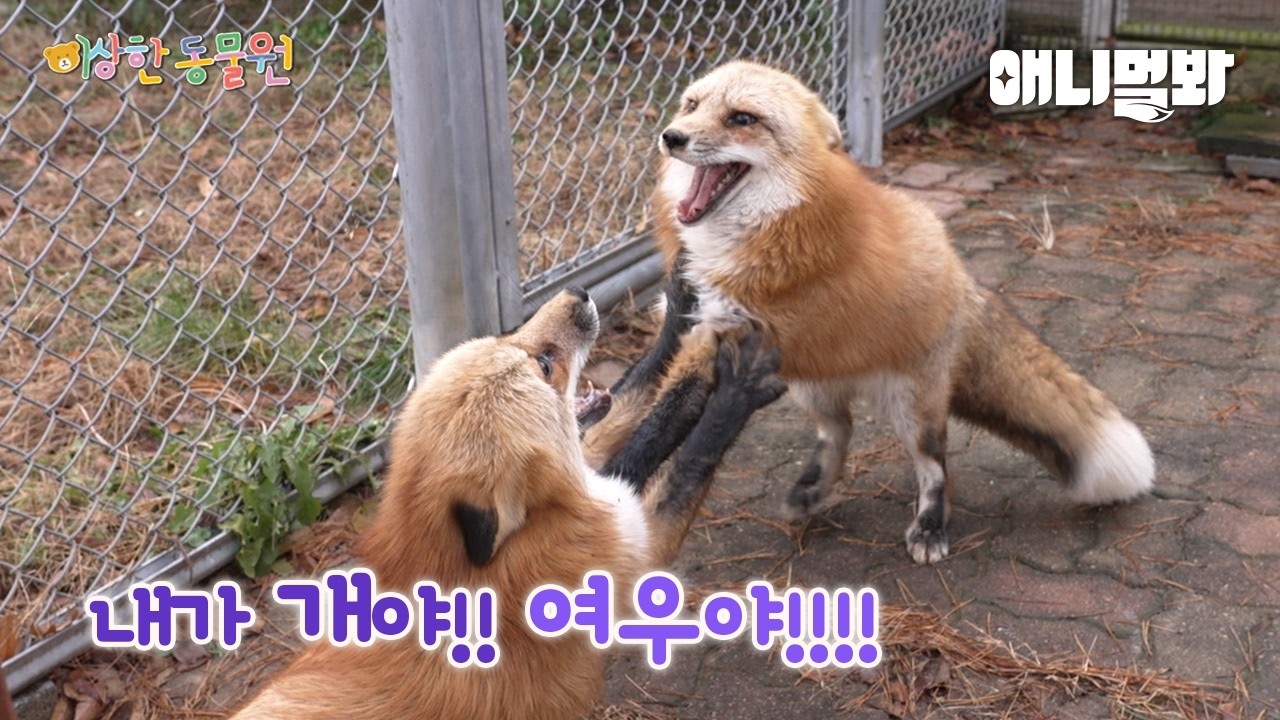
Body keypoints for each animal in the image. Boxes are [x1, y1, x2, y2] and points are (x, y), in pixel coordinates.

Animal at [228, 284, 784, 720]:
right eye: (545, 364)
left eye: (505, 338)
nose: (577, 293)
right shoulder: (630, 551)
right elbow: (686, 446)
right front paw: (734, 383)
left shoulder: (590, 472)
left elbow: (642, 396)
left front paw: (683, 309)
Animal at [647, 60, 1154, 564]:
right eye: (692, 105)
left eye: (742, 118)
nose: (671, 137)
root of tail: (961, 276)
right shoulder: (708, 336)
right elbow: (669, 403)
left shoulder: (747, 340)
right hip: (808, 385)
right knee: (839, 431)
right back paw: (812, 491)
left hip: (912, 408)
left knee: (936, 467)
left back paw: (930, 525)